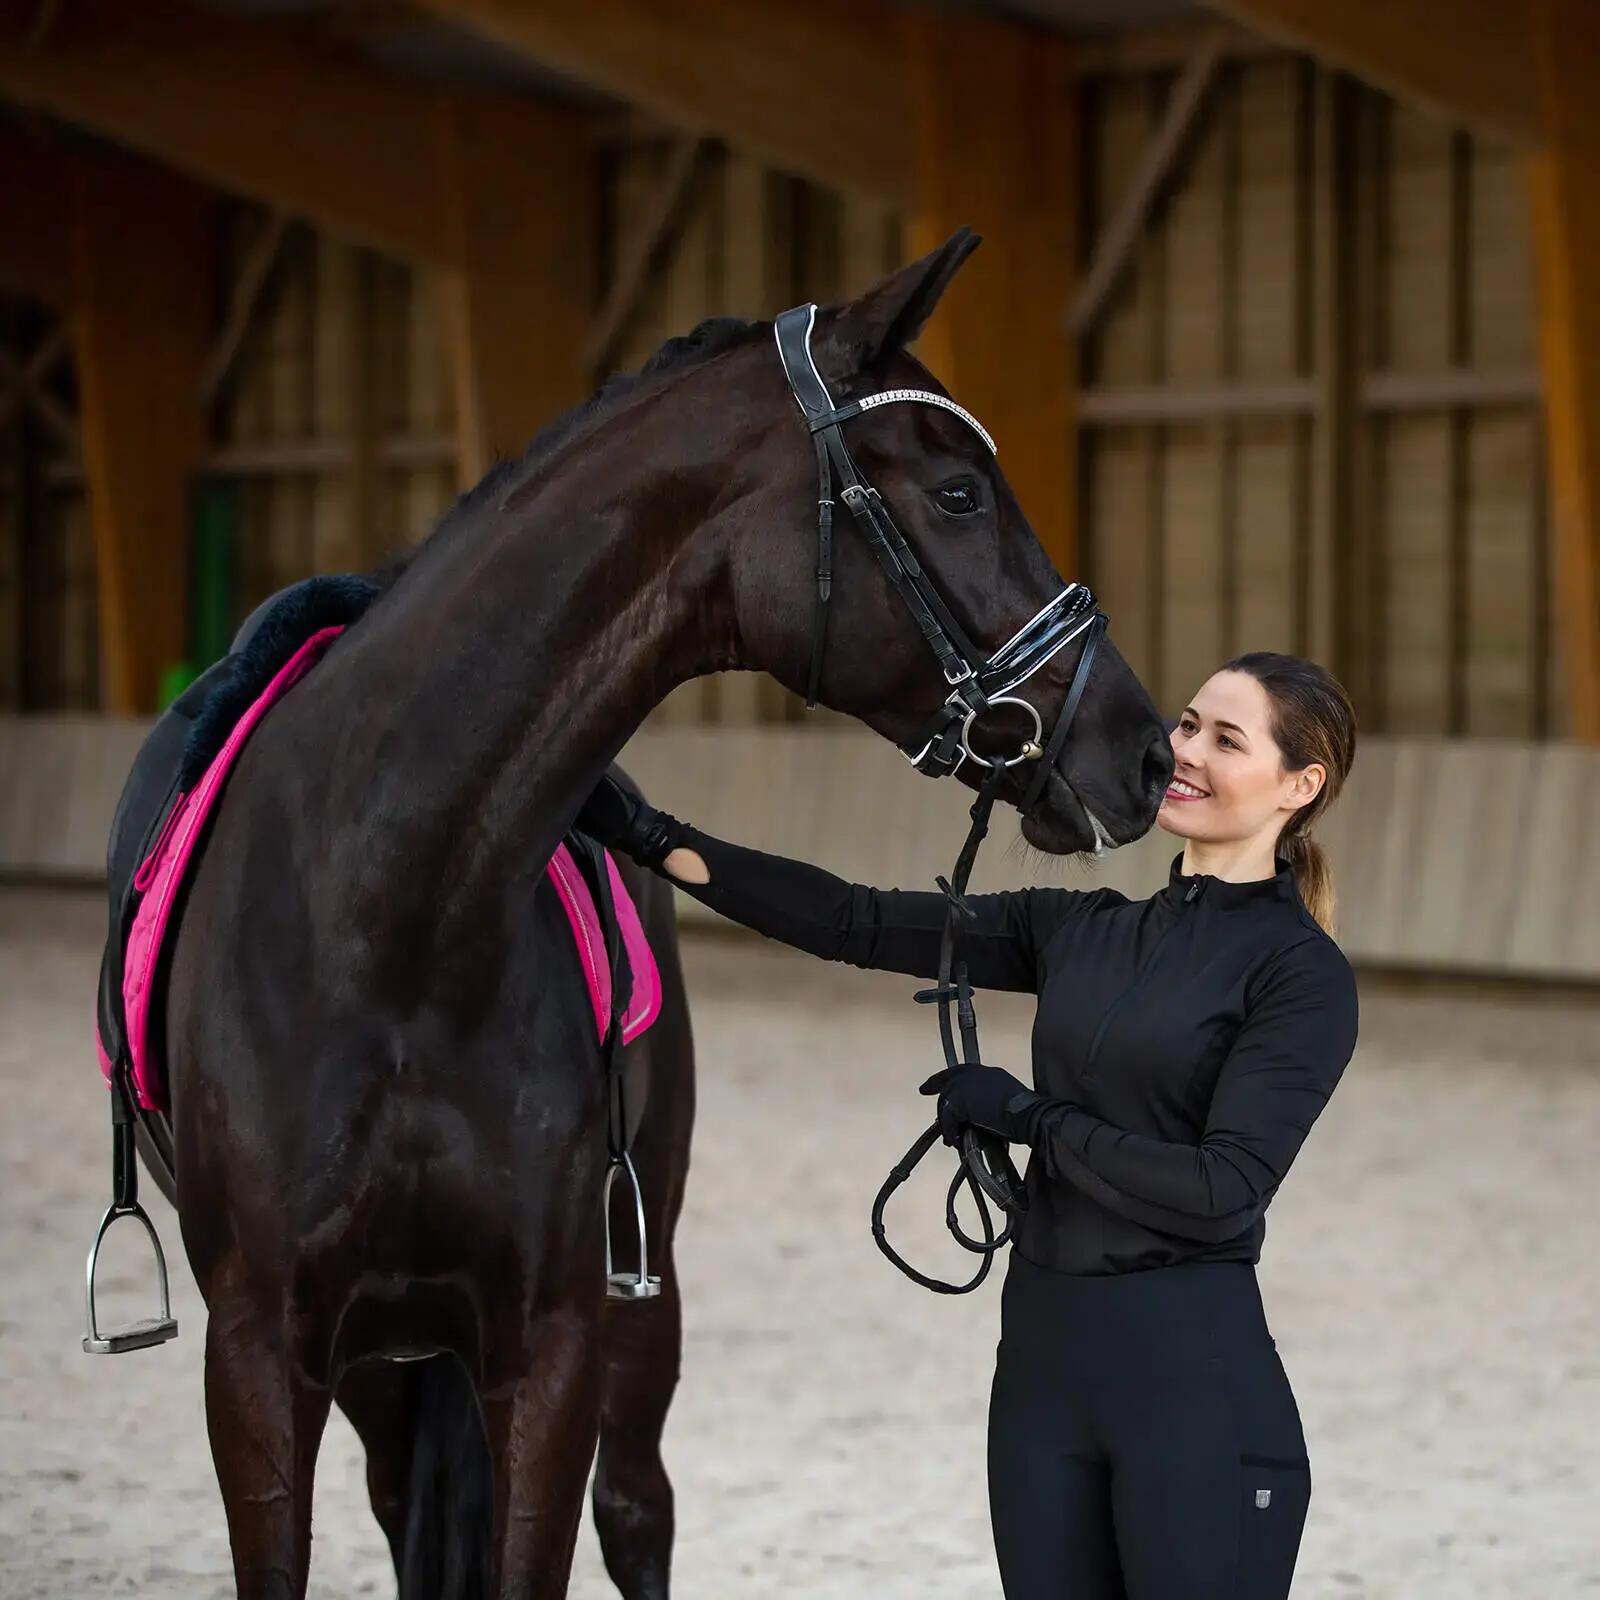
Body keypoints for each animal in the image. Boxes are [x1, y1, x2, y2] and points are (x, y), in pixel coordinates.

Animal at [154, 228, 1172, 1598]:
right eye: (959, 493)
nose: (1143, 749)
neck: (389, 913)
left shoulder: (554, 1338)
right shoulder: (261, 1354)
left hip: (635, 1302)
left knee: (636, 1509)